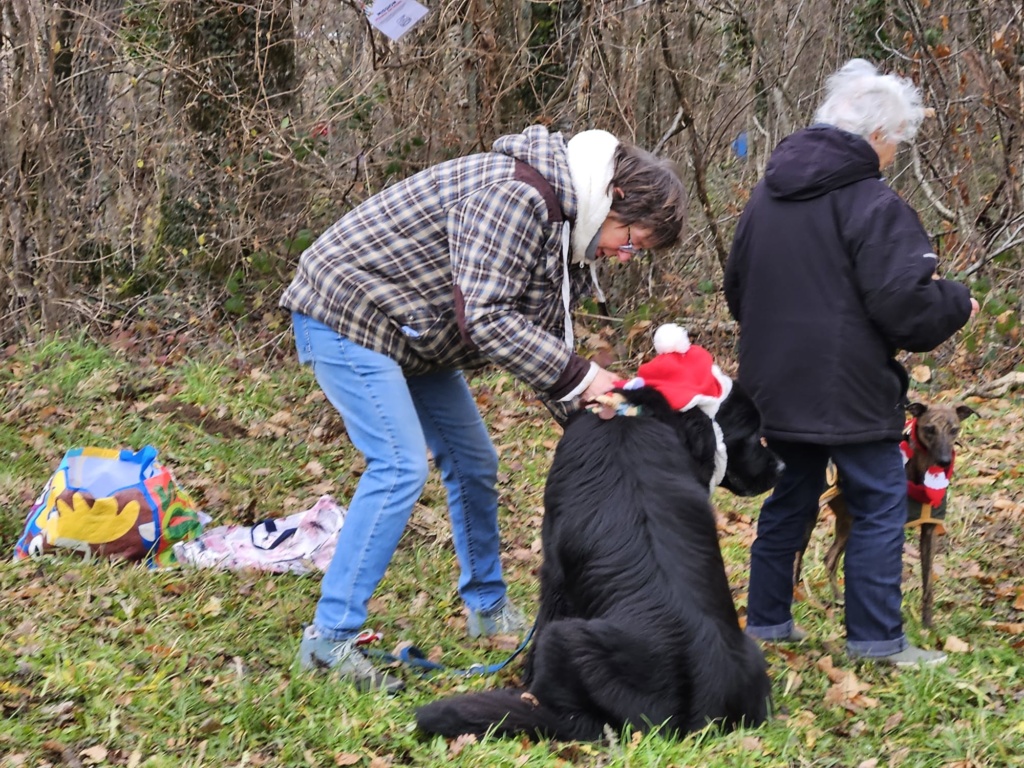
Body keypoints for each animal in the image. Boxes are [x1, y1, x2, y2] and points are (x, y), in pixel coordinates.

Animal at [799, 401, 976, 627]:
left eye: (954, 429)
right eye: (929, 429)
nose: (944, 461)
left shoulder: (929, 529)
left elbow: (927, 583)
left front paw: (927, 625)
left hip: (848, 523)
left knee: (830, 558)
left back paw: (839, 600)